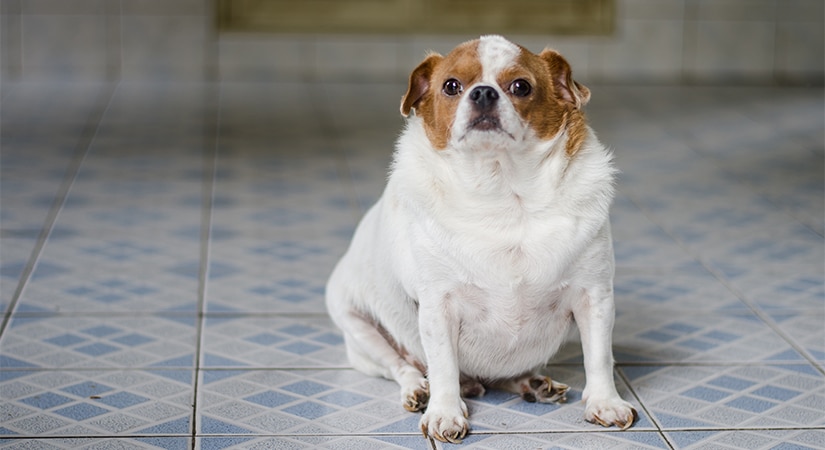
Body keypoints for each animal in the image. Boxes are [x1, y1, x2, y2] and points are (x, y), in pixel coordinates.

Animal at [326, 35, 636, 442]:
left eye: (521, 86)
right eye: (451, 86)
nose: (484, 93)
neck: (503, 193)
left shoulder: (594, 297)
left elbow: (598, 356)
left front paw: (606, 402)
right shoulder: (438, 307)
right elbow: (442, 364)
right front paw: (444, 412)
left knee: (505, 377)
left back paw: (531, 383)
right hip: (359, 328)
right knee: (402, 366)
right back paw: (420, 390)